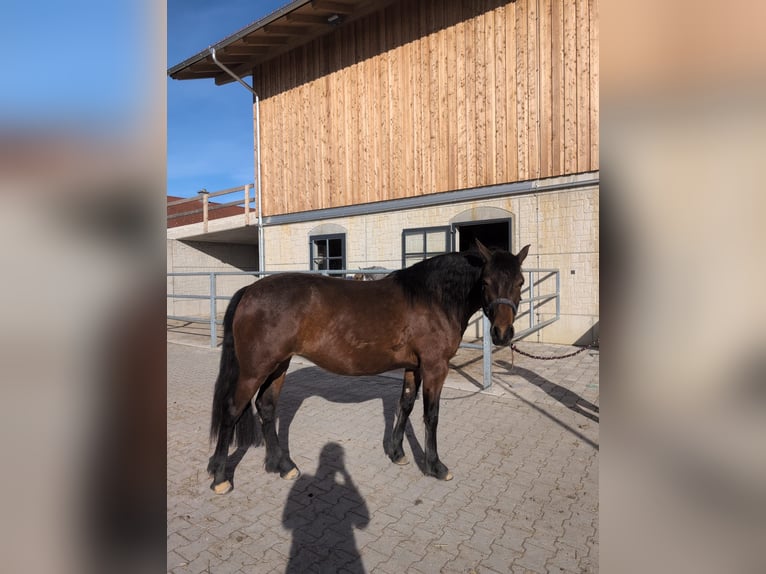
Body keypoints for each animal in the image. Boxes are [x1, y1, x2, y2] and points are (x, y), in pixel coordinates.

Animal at [208, 240, 530, 494]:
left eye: (520, 282)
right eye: (485, 282)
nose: (502, 334)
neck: (433, 297)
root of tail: (250, 290)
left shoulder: (414, 367)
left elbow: (405, 404)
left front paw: (397, 453)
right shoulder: (435, 367)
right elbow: (431, 415)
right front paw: (436, 466)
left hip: (278, 366)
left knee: (266, 407)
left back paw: (284, 465)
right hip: (255, 370)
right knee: (232, 410)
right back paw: (221, 477)